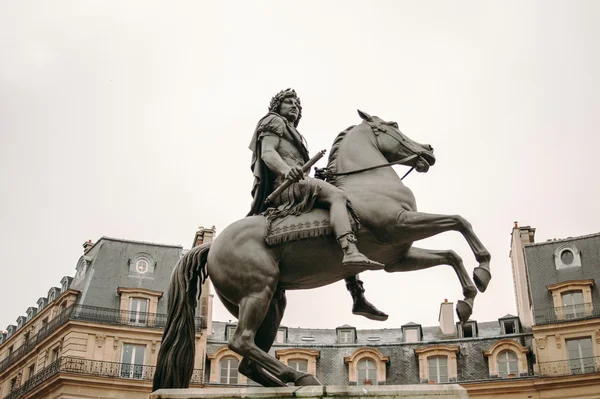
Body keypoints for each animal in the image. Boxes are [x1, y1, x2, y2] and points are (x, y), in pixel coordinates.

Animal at [152, 110, 490, 390]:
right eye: (393, 126)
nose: (428, 151)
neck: (367, 183)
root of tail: (212, 245)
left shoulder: (397, 257)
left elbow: (451, 253)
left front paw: (468, 299)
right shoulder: (400, 224)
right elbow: (459, 221)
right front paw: (483, 268)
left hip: (272, 302)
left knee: (248, 360)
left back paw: (288, 380)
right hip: (257, 292)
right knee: (241, 341)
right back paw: (301, 376)